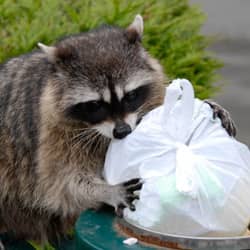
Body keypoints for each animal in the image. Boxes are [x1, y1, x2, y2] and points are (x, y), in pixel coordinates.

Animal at [0, 14, 234, 246]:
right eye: (95, 105)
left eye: (130, 95)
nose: (122, 132)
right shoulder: (52, 133)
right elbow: (62, 184)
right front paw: (105, 191)